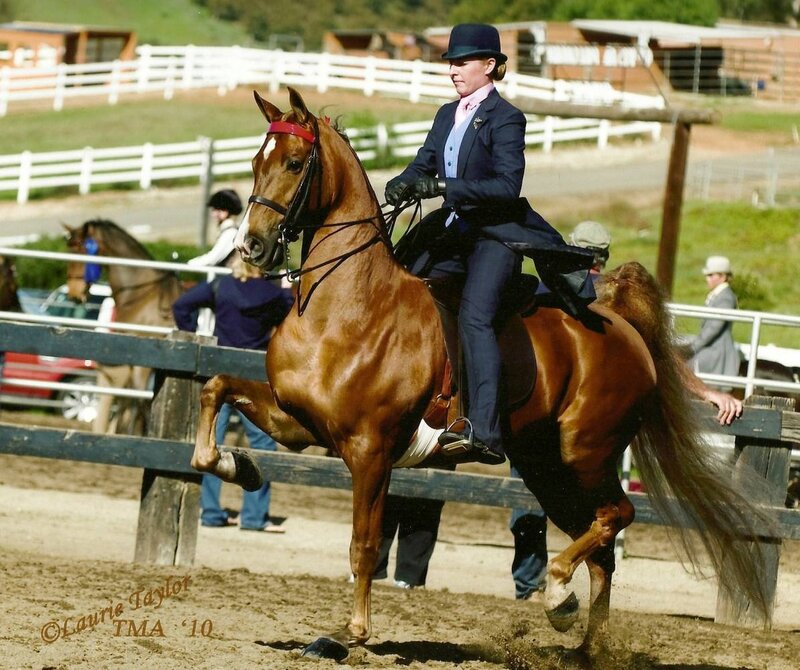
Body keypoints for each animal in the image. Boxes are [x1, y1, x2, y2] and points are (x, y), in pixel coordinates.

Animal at [64, 219, 183, 434]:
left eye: (81, 252)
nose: (74, 295)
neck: (141, 295)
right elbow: (131, 402)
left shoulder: (142, 362)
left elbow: (138, 400)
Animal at [189, 87, 773, 660]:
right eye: (255, 163)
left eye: (293, 163)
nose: (251, 247)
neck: (341, 305)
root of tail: (618, 321)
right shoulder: (298, 423)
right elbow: (215, 394)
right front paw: (240, 465)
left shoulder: (369, 450)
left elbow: (364, 544)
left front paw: (353, 633)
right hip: (545, 466)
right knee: (602, 547)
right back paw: (582, 641)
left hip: (585, 455)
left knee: (616, 516)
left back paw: (557, 594)